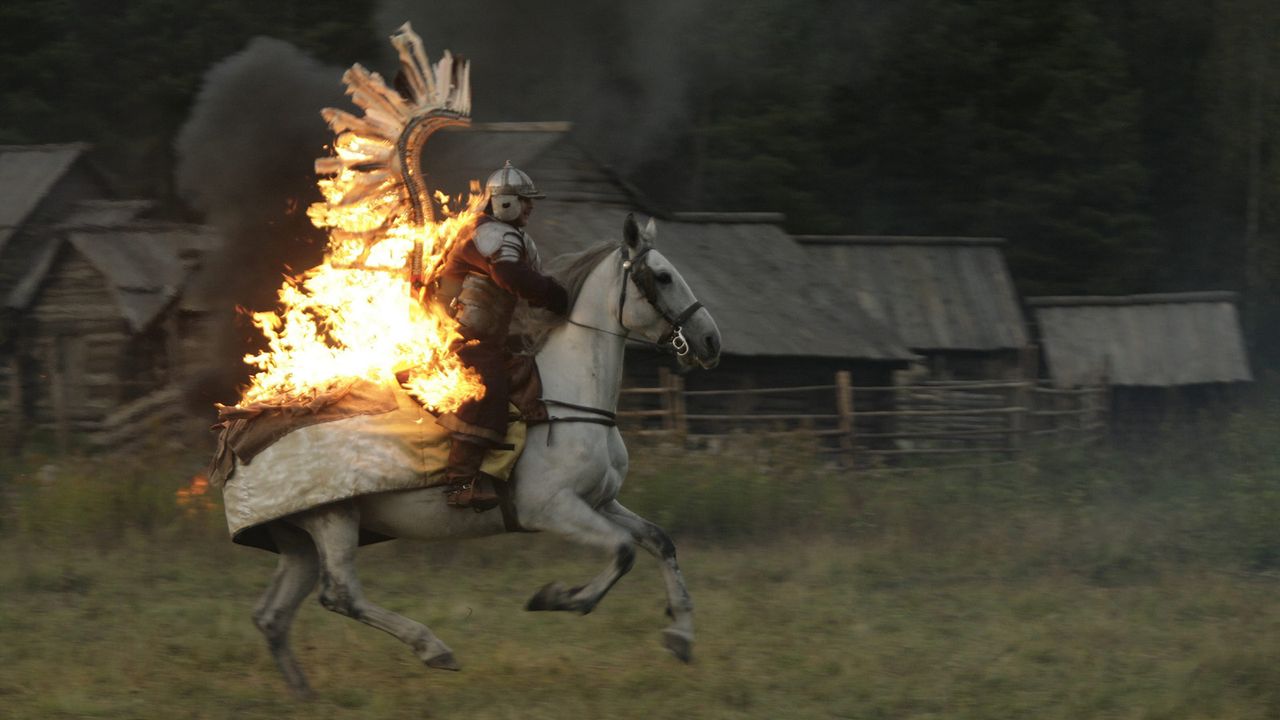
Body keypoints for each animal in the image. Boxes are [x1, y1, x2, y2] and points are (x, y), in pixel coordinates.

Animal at [241, 213, 721, 696]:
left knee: (272, 615)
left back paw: (303, 691)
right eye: (661, 276)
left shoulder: (600, 502)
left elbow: (659, 541)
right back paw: (433, 648)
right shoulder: (551, 509)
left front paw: (680, 634)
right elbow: (623, 551)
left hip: (299, 539)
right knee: (339, 594)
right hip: (333, 518)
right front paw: (557, 598)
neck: (568, 399)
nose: (710, 340)